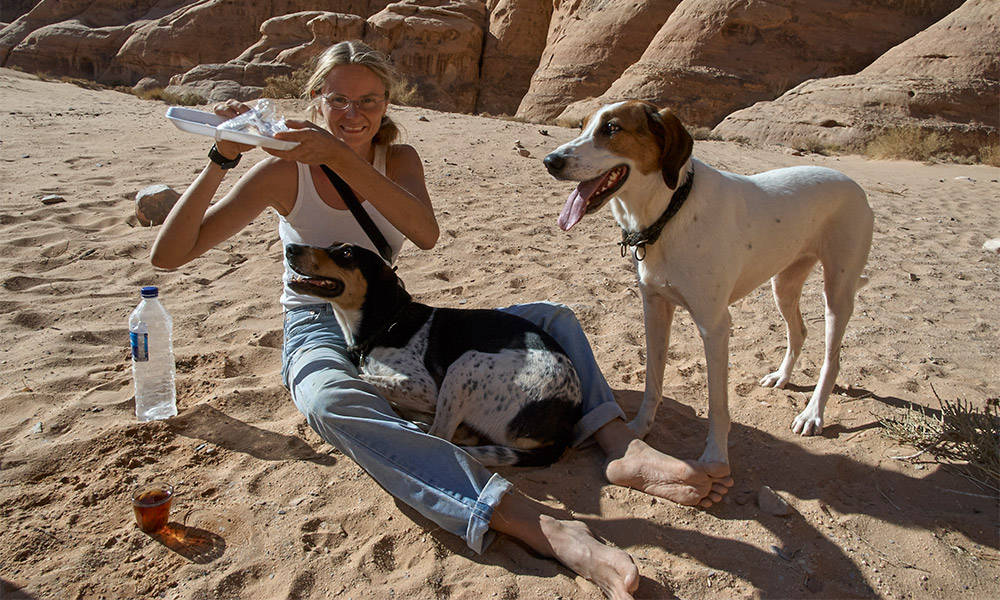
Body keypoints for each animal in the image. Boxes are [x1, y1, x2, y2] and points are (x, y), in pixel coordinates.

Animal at [286, 241, 584, 466]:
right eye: (331, 245)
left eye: (347, 253)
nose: (290, 248)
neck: (387, 322)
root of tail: (567, 424)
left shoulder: (425, 387)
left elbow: (364, 377)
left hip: (466, 364)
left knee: (441, 434)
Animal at [544, 101, 872, 466]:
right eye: (582, 125)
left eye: (612, 128)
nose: (550, 161)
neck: (670, 211)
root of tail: (854, 184)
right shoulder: (655, 309)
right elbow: (652, 381)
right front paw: (640, 428)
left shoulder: (715, 325)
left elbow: (717, 404)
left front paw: (715, 457)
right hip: (784, 284)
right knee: (798, 331)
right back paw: (782, 377)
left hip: (837, 292)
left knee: (832, 358)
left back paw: (812, 414)